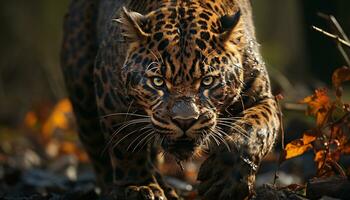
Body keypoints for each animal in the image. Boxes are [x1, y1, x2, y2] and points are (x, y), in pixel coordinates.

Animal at [59, 0, 278, 198]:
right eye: (158, 82)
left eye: (207, 81)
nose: (185, 121)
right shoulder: (111, 96)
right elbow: (127, 146)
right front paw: (140, 186)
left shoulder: (262, 97)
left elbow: (252, 130)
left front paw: (226, 178)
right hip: (82, 91)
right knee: (98, 151)